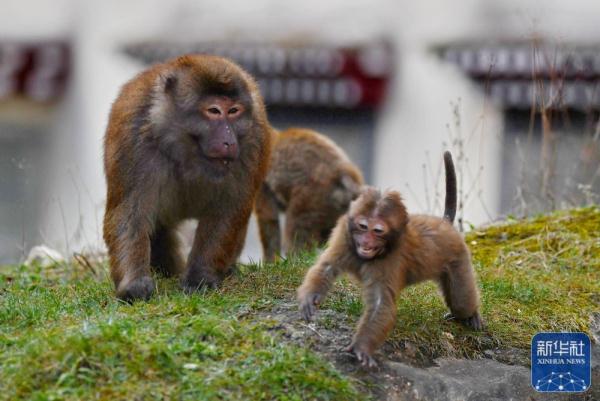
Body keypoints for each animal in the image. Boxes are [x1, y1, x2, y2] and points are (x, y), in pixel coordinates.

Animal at [103, 54, 272, 300]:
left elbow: (228, 209)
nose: (229, 141)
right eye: (214, 111)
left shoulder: (252, 141)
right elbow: (129, 211)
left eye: (233, 111)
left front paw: (199, 277)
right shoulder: (132, 137)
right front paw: (134, 283)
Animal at [255, 126, 364, 260]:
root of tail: (343, 173)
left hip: (309, 199)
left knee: (297, 232)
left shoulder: (263, 188)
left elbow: (268, 223)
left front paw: (270, 260)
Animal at [298, 152, 486, 368]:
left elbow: (381, 303)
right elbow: (327, 267)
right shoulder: (344, 237)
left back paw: (471, 315)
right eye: (363, 226)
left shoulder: (391, 260)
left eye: (378, 231)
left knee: (461, 301)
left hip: (458, 260)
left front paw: (362, 347)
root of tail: (444, 223)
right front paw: (310, 297)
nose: (366, 241)